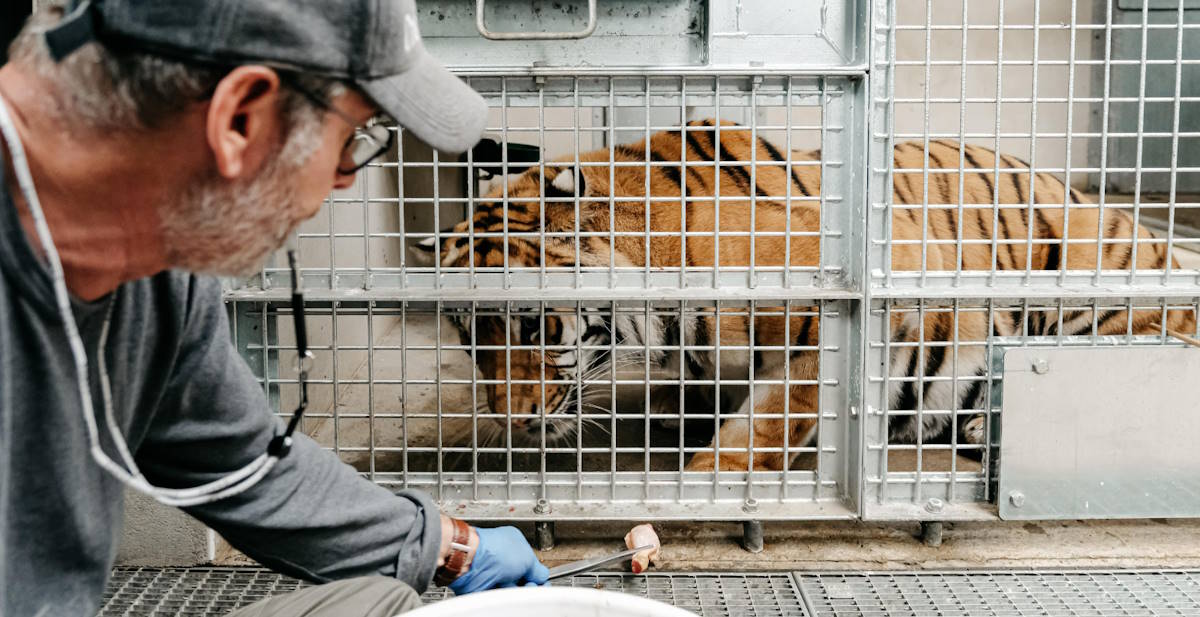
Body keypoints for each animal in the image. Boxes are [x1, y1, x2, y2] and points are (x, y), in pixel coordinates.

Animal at [410, 117, 1190, 468]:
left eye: (536, 328)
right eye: (470, 340)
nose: (512, 422)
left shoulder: (840, 315)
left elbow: (766, 422)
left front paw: (711, 480)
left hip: (1087, 281)